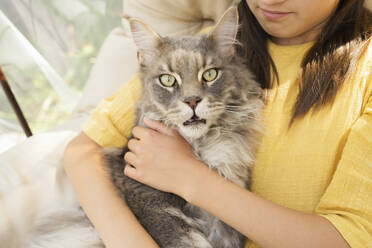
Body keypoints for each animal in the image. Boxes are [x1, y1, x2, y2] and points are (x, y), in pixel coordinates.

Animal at [103, 6, 264, 247]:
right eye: (167, 80)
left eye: (210, 74)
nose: (192, 100)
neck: (201, 149)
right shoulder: (152, 204)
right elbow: (189, 240)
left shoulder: (228, 220)